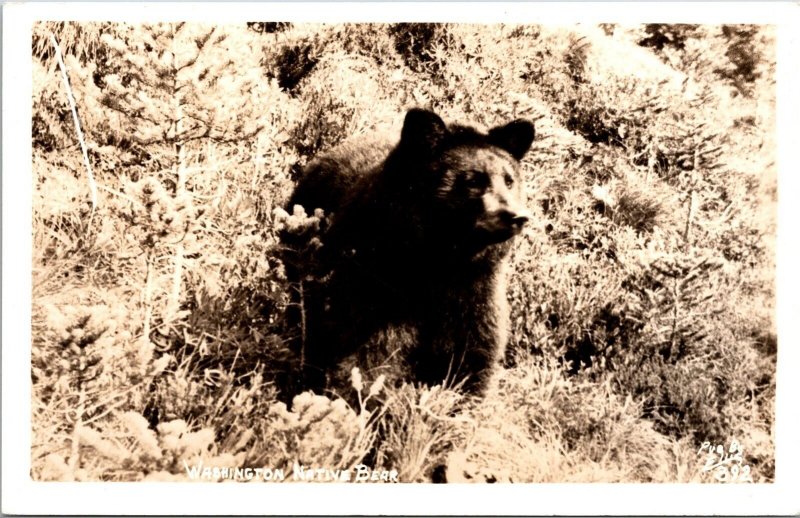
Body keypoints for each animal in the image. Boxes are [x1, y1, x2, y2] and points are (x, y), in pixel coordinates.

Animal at [278, 109, 536, 398]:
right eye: (473, 180)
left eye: (509, 180)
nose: (516, 216)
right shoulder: (377, 282)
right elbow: (366, 352)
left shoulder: (475, 291)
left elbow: (474, 353)